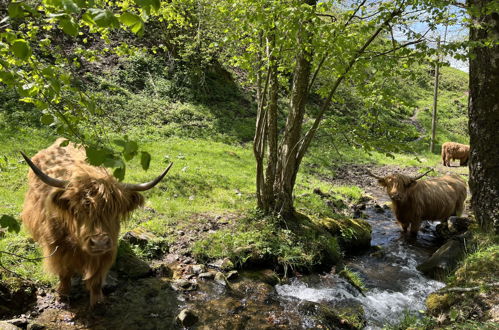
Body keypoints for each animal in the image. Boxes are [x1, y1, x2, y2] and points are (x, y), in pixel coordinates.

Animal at [21, 138, 174, 306]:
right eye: (79, 209)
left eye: (114, 211)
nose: (99, 242)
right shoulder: (57, 247)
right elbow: (64, 272)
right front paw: (62, 294)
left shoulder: (107, 251)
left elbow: (96, 278)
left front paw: (98, 301)